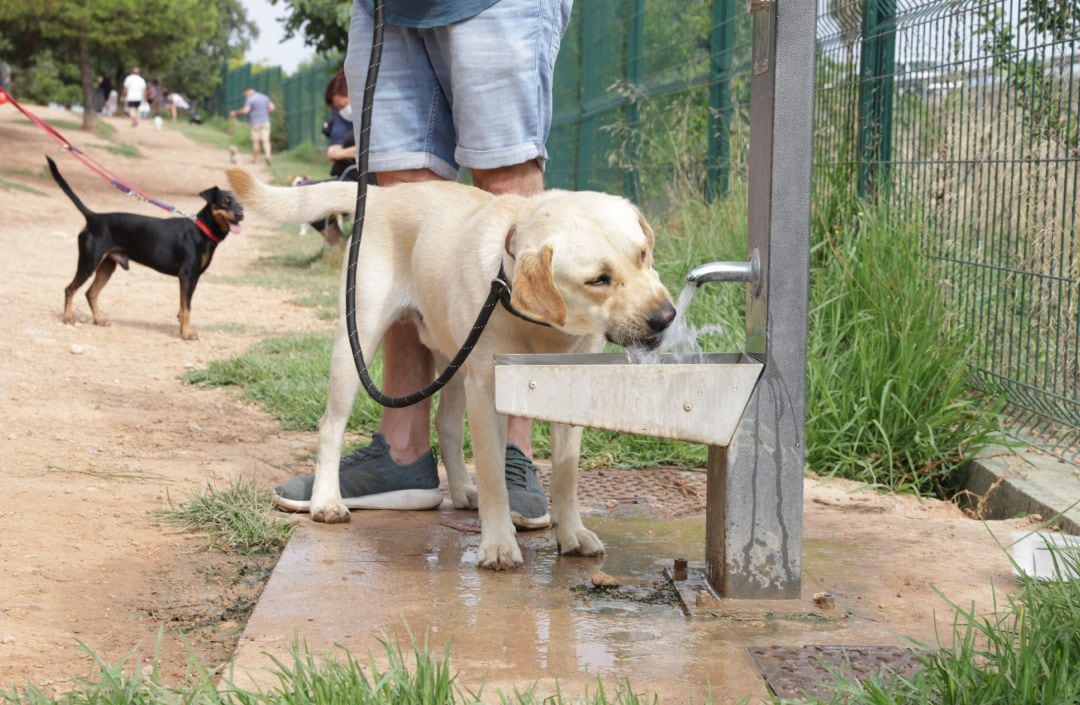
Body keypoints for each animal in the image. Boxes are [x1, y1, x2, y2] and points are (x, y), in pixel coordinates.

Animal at [49, 154, 243, 341]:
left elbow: (183, 308)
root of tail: (93, 217)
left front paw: (183, 329)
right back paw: (67, 318)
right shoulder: (188, 276)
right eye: (226, 201)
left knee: (91, 293)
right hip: (89, 263)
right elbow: (187, 308)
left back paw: (99, 320)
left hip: (107, 266)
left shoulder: (193, 278)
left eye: (241, 204)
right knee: (70, 289)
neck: (202, 230)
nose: (241, 215)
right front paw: (187, 334)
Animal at [223, 171, 669, 570]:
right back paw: (327, 500)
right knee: (331, 426)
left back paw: (461, 491)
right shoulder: (486, 391)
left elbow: (566, 475)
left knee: (447, 425)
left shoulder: (567, 391)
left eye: (642, 255)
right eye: (599, 279)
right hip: (358, 342)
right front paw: (498, 544)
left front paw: (572, 533)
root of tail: (382, 195)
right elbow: (492, 476)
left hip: (455, 359)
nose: (665, 316)